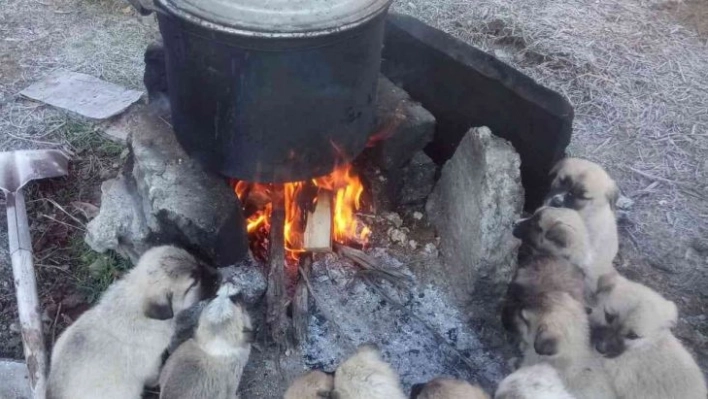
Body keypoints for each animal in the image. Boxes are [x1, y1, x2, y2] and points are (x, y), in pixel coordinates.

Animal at [47, 247, 205, 399]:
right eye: (194, 282)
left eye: (196, 263)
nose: (208, 272)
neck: (134, 299)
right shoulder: (151, 362)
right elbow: (153, 375)